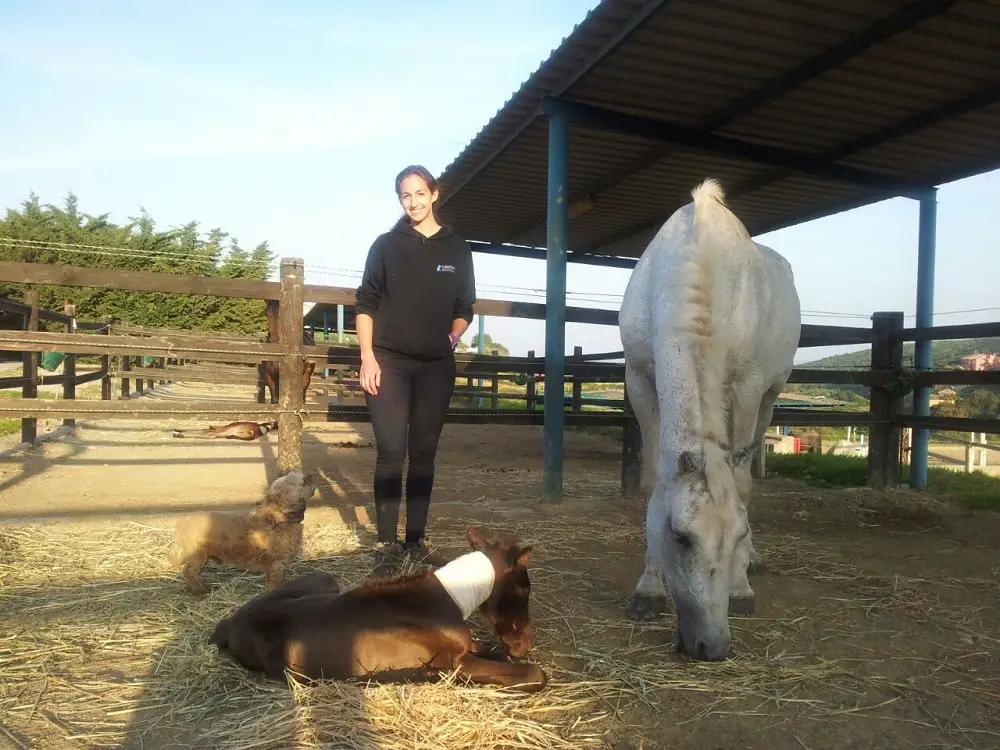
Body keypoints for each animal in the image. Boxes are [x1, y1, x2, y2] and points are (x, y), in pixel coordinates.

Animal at [168, 472, 316, 596]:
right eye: (303, 481)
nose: (311, 476)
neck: (276, 519)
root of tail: (182, 522)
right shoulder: (276, 565)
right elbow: (275, 583)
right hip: (198, 556)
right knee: (189, 572)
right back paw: (200, 590)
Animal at [205, 528, 548, 692]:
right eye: (524, 590)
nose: (524, 645)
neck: (452, 596)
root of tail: (228, 624)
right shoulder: (453, 665)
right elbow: (534, 673)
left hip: (324, 579)